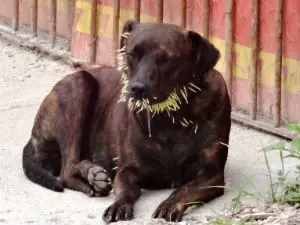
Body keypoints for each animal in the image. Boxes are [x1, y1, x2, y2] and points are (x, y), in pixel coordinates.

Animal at [22, 19, 232, 223]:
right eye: (131, 55)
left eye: (165, 59)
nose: (137, 88)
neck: (169, 119)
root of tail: (32, 138)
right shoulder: (127, 169)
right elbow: (126, 190)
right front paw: (119, 204)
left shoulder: (211, 173)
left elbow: (186, 188)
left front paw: (171, 204)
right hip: (78, 86)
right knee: (67, 170)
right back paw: (92, 174)